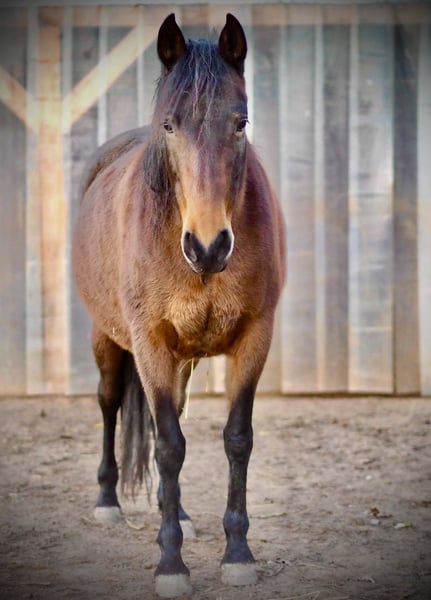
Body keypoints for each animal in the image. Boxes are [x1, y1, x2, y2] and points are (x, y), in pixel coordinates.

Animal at [72, 13, 286, 598]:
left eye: (240, 123)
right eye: (169, 126)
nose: (208, 246)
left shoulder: (254, 339)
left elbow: (235, 440)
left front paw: (237, 554)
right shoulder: (149, 345)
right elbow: (168, 446)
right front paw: (171, 564)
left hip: (182, 360)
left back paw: (183, 515)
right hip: (109, 340)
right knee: (109, 403)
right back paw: (107, 502)